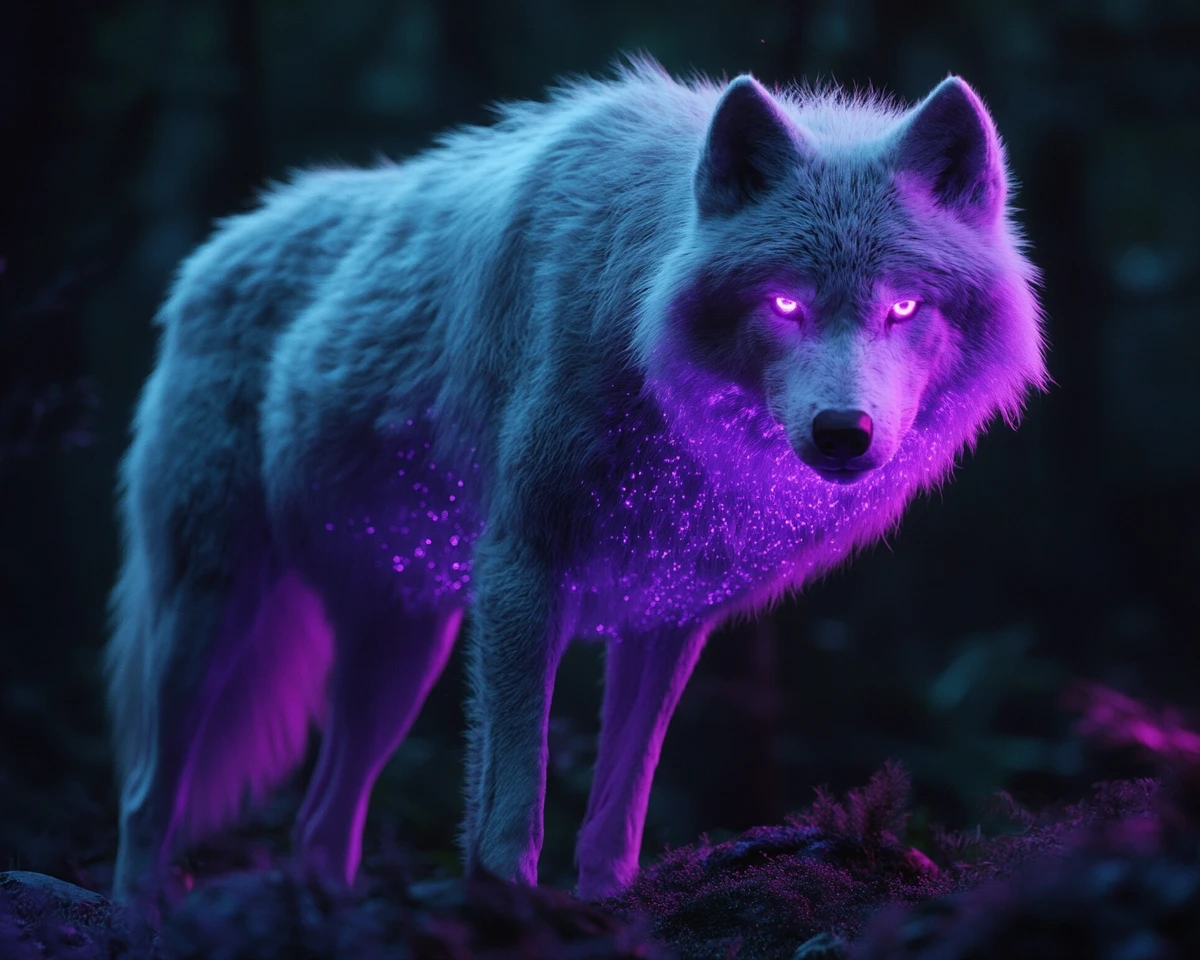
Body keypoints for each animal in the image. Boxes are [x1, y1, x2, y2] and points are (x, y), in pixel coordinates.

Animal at [106, 57, 1046, 907]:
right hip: (212, 614)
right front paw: (507, 904)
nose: (843, 433)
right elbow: (516, 797)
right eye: (786, 305)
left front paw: (606, 910)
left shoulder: (668, 614)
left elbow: (617, 809)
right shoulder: (522, 572)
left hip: (404, 650)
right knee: (148, 798)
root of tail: (212, 251)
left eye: (902, 308)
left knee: (318, 826)